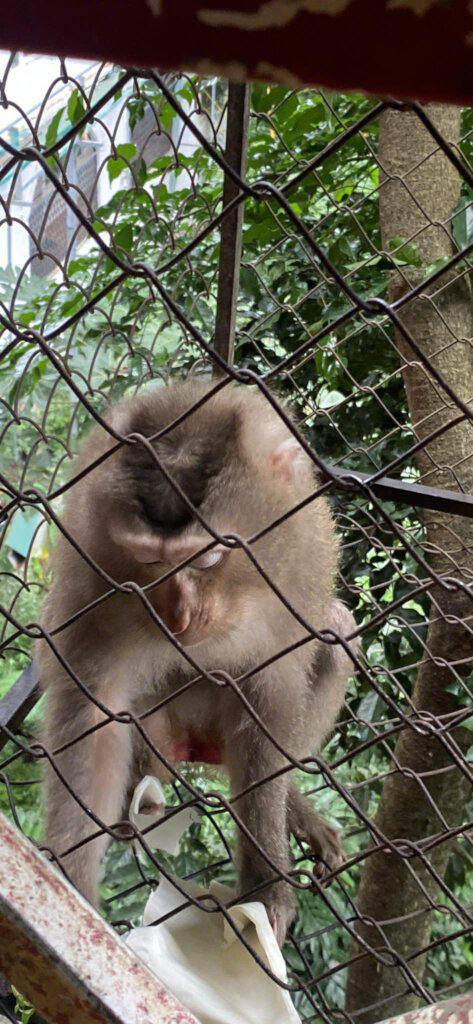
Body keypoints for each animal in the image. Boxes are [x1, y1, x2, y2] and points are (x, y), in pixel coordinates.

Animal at [36, 379, 357, 946]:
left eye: (209, 556)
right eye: (148, 559)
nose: (178, 617)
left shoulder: (296, 578)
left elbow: (268, 716)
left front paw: (265, 888)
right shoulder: (95, 573)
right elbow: (97, 714)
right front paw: (70, 882)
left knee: (336, 633)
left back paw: (293, 805)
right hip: (157, 734)